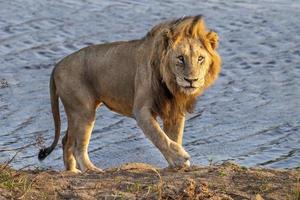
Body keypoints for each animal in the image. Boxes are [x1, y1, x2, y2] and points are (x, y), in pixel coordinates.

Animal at [37, 14, 221, 173]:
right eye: (180, 58)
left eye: (200, 58)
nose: (191, 80)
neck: (171, 85)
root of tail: (57, 66)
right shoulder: (141, 110)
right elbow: (160, 136)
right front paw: (180, 157)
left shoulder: (174, 111)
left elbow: (174, 136)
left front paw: (175, 162)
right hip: (83, 111)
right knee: (77, 146)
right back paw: (91, 169)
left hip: (75, 112)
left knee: (66, 140)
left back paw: (72, 171)